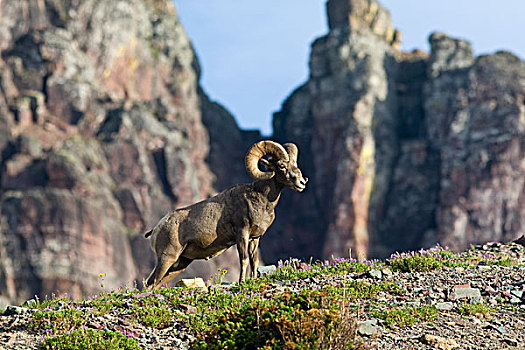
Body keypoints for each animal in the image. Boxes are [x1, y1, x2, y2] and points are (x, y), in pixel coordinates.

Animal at [143, 139, 308, 290]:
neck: (262, 199)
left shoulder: (255, 238)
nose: (301, 183)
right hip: (167, 258)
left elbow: (254, 261)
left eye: (295, 164)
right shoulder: (242, 233)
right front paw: (242, 282)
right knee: (150, 283)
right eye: (281, 166)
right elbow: (244, 259)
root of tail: (157, 228)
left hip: (179, 264)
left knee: (156, 284)